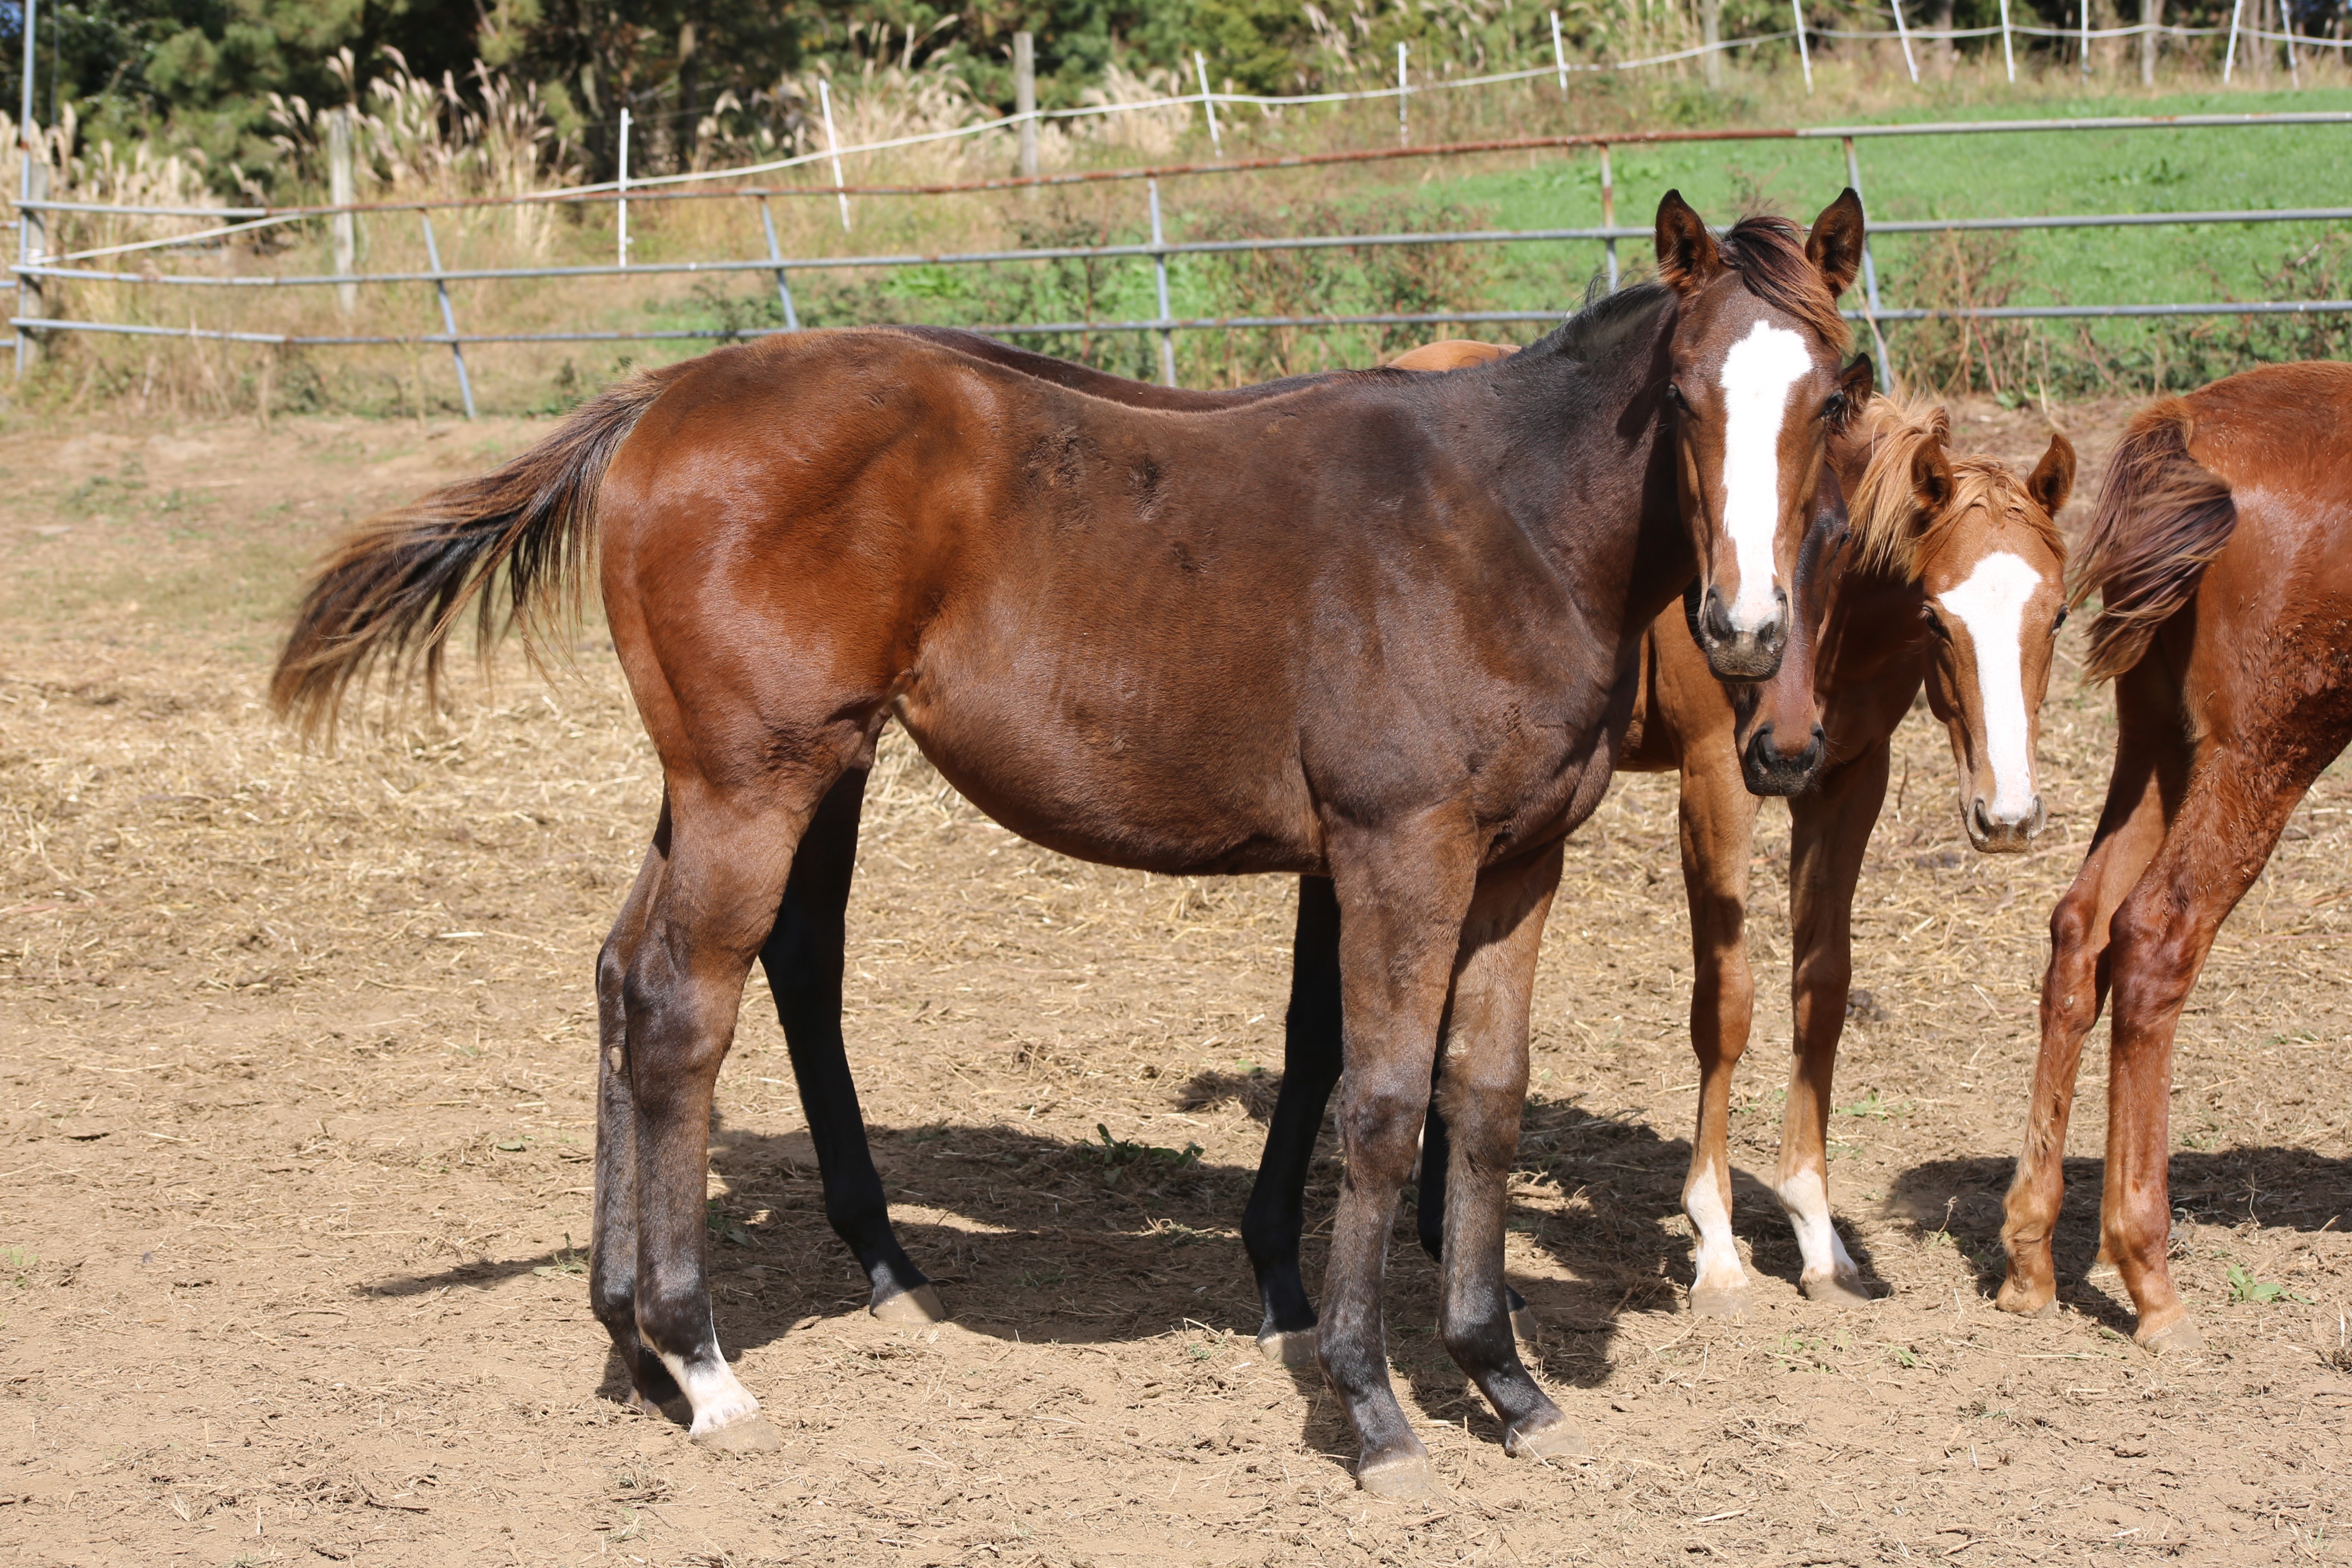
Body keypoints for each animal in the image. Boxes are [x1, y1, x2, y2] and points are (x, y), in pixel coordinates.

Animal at [280, 196, 1872, 1495]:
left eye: (1837, 397)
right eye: (1679, 397)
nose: (1744, 630)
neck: (1501, 526)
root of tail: (670, 394)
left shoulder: (1519, 862)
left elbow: (1483, 1099)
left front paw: (1504, 1378)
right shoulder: (1396, 851)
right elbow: (1377, 1104)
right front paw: (1370, 1404)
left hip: (715, 782)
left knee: (624, 975)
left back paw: (632, 1341)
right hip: (757, 780)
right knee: (685, 1007)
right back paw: (705, 1360)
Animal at [1994, 362, 2352, 1354]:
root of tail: (2189, 425)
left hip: (2158, 742)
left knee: (2080, 929)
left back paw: (2030, 1252)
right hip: (2261, 750)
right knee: (2155, 936)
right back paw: (2146, 1271)